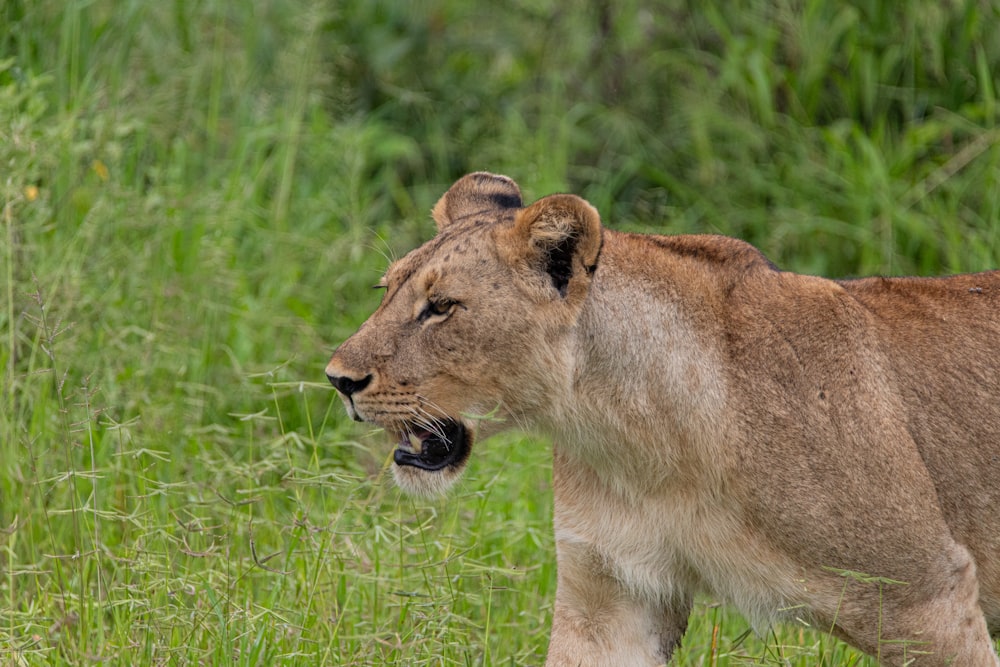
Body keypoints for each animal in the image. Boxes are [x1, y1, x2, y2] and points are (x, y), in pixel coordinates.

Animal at [328, 174, 1000, 667]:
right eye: (387, 291)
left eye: (441, 307)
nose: (338, 379)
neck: (638, 438)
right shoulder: (610, 598)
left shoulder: (924, 596)